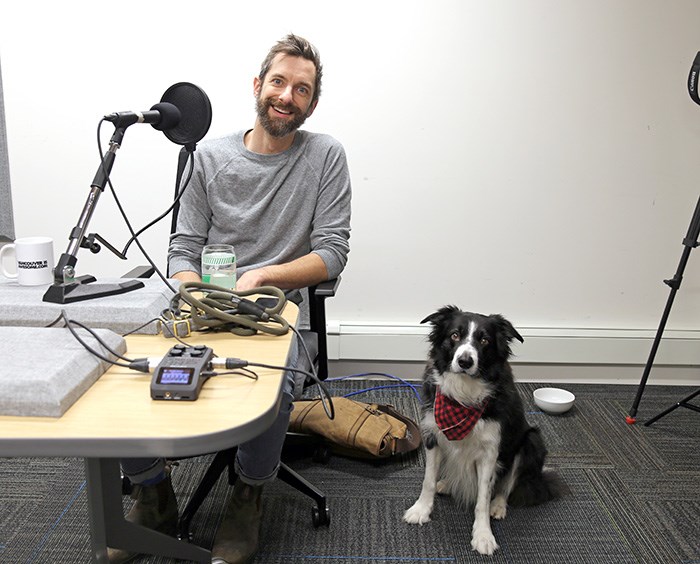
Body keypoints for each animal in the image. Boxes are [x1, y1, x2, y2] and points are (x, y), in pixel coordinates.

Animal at [402, 306, 568, 552]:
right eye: (454, 335)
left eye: (484, 340)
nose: (464, 361)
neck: (463, 397)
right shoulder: (433, 435)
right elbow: (428, 480)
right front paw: (421, 510)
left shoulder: (490, 452)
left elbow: (483, 497)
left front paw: (483, 536)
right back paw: (447, 484)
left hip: (531, 442)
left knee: (506, 486)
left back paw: (498, 506)